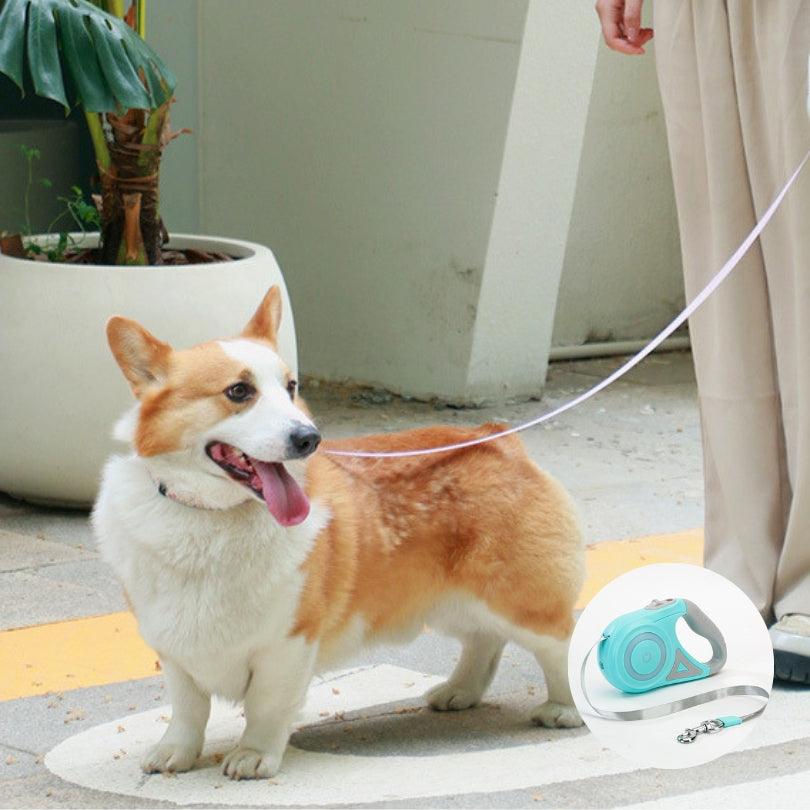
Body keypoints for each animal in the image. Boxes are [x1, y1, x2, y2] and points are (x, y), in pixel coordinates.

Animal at [94, 288, 584, 780]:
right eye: (239, 391)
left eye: (291, 387)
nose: (309, 438)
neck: (215, 517)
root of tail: (498, 438)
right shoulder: (175, 649)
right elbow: (187, 709)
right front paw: (175, 752)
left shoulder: (288, 643)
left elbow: (266, 706)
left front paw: (253, 754)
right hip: (449, 599)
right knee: (484, 638)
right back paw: (459, 692)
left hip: (517, 601)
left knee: (559, 640)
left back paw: (565, 709)